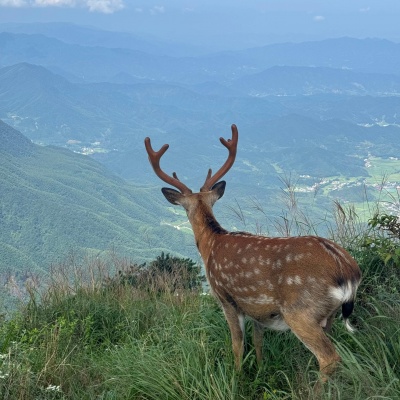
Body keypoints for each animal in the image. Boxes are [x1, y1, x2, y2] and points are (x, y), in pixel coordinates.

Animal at [145, 125, 362, 382]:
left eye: (185, 209)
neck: (211, 244)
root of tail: (348, 270)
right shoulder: (259, 311)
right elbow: (258, 342)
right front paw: (260, 370)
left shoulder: (226, 297)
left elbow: (237, 344)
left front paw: (237, 377)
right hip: (328, 316)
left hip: (301, 311)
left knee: (329, 358)